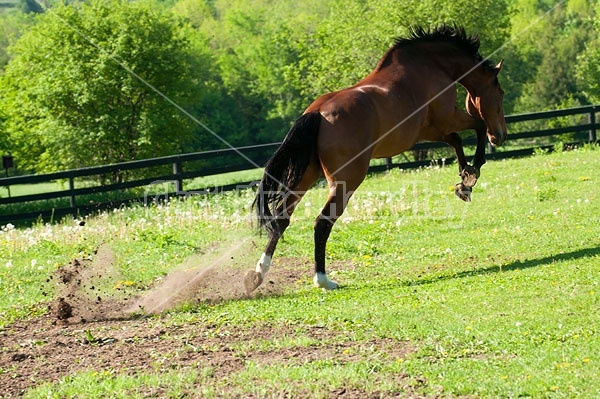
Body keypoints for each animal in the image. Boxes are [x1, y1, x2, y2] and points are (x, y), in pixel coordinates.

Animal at [244, 25, 506, 294]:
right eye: (500, 93)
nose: (499, 136)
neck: (432, 63)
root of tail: (317, 113)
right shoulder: (447, 118)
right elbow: (476, 126)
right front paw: (472, 174)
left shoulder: (429, 130)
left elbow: (456, 141)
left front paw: (464, 182)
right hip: (346, 182)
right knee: (322, 222)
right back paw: (323, 280)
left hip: (307, 176)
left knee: (282, 217)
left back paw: (258, 274)